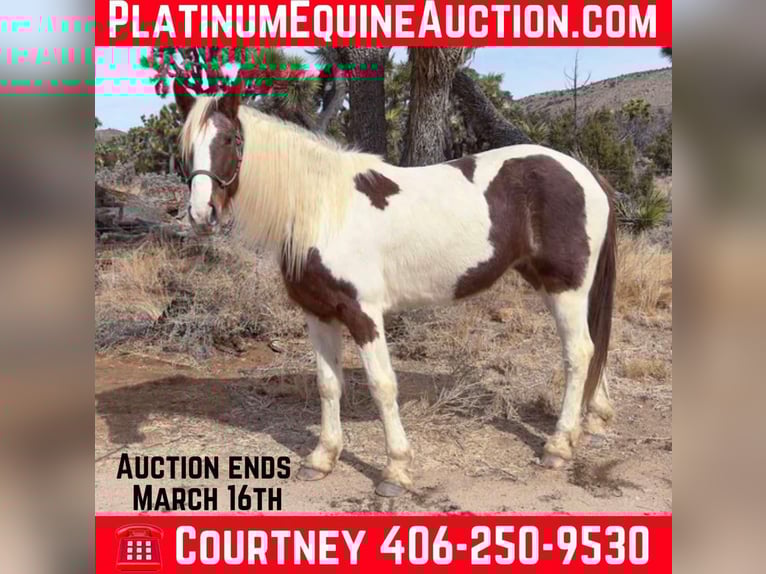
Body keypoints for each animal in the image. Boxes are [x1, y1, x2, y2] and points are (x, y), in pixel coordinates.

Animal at [174, 80, 616, 497]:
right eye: (186, 148)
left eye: (229, 140)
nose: (201, 214)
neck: (323, 209)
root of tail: (585, 174)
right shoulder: (319, 313)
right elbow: (328, 384)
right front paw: (322, 458)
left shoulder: (363, 313)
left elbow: (382, 386)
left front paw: (396, 470)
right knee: (592, 350)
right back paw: (588, 422)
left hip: (566, 287)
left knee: (579, 354)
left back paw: (558, 446)